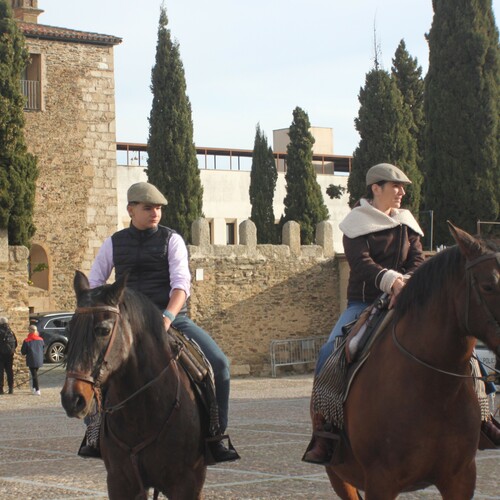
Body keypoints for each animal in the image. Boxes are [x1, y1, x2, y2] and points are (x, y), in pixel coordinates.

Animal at [61, 272, 207, 498]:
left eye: (103, 330)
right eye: (69, 327)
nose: (71, 398)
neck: (143, 412)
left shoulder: (187, 485)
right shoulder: (120, 482)